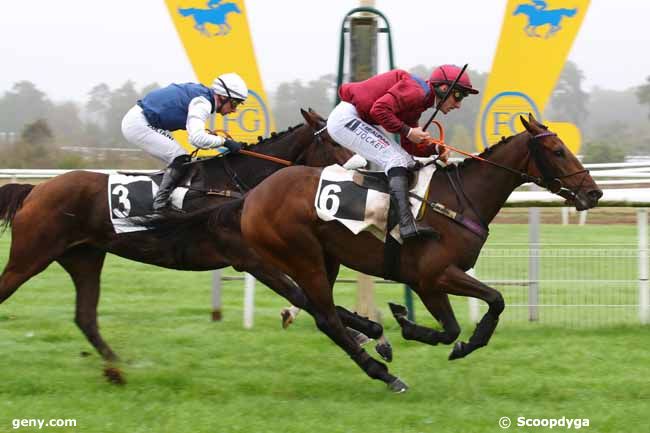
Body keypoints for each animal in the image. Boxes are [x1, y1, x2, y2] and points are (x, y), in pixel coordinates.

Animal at [0, 109, 352, 366]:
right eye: (335, 142)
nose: (358, 170)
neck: (233, 187)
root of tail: (34, 190)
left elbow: (314, 294)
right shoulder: (251, 259)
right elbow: (305, 297)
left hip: (84, 258)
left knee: (85, 316)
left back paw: (118, 363)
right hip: (30, 257)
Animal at [238, 115, 604, 392]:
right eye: (557, 151)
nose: (594, 193)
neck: (461, 199)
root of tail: (251, 198)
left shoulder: (432, 281)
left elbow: (458, 324)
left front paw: (416, 326)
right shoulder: (432, 276)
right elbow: (490, 303)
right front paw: (426, 331)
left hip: (326, 260)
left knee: (317, 310)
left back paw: (372, 334)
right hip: (304, 258)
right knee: (326, 318)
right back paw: (384, 372)